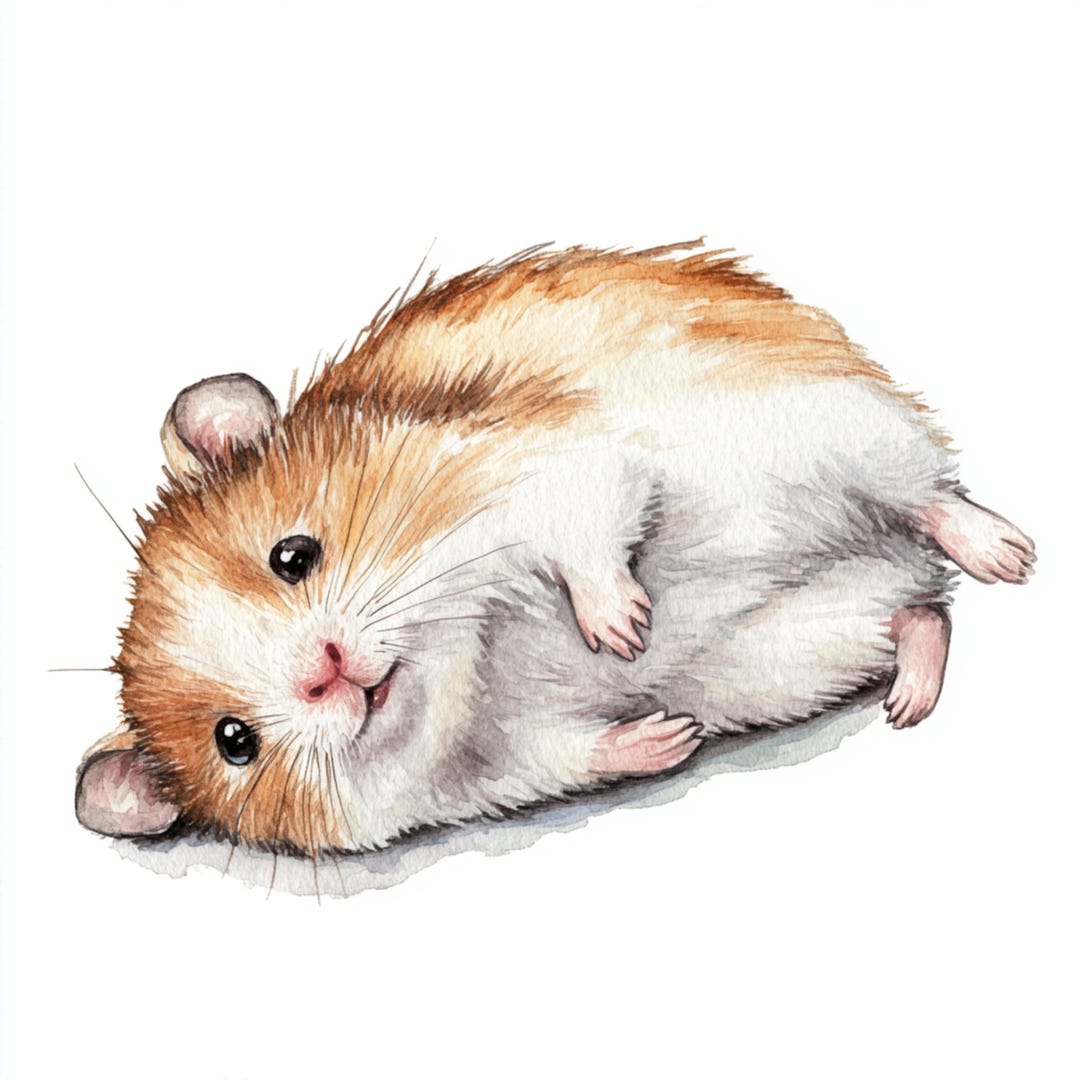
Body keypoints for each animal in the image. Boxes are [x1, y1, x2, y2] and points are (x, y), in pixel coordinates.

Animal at [74, 241, 1036, 856]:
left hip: (843, 433)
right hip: (813, 643)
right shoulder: (494, 772)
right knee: (922, 616)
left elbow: (591, 528)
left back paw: (1010, 555)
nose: (331, 676)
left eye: (293, 555)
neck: (469, 656)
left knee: (933, 501)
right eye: (234, 742)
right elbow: (577, 753)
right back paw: (907, 699)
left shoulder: (549, 468)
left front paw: (620, 632)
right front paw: (667, 734)